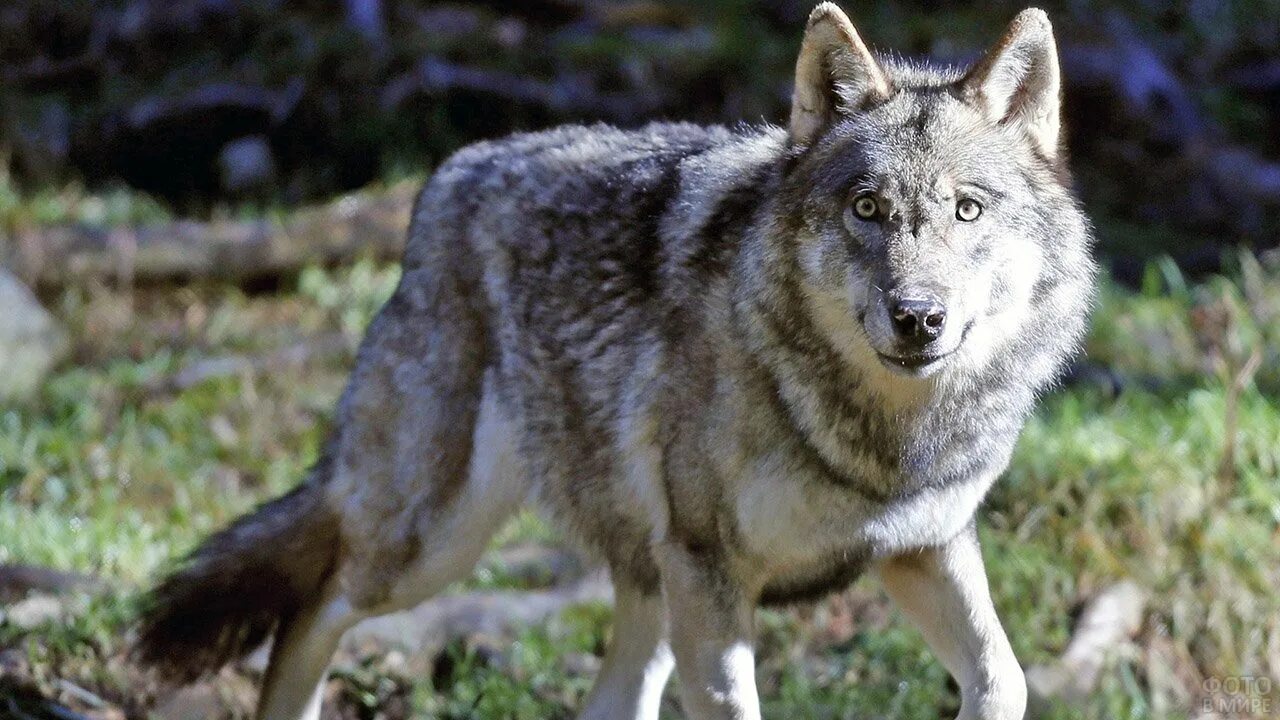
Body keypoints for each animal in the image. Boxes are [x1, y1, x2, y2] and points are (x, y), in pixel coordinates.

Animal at [135, 5, 1095, 717]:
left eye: (967, 209)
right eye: (867, 208)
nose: (918, 318)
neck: (885, 442)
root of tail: (447, 178)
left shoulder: (923, 547)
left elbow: (1005, 680)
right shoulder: (711, 575)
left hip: (637, 588)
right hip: (427, 546)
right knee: (309, 610)